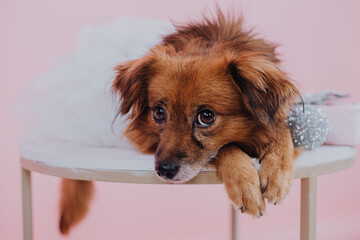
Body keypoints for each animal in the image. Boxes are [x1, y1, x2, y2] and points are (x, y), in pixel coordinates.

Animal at [59, 10, 300, 233]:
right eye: (158, 112)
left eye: (206, 116)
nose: (164, 170)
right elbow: (226, 147)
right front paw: (244, 184)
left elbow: (283, 132)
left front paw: (277, 173)